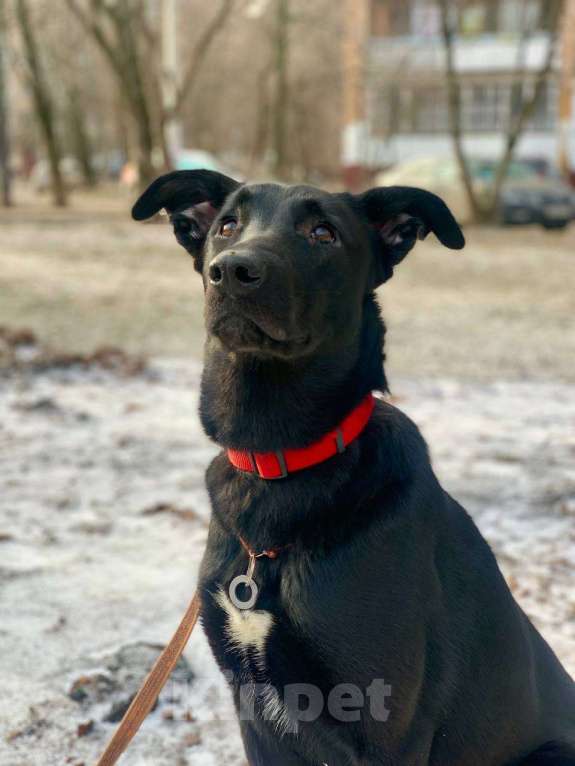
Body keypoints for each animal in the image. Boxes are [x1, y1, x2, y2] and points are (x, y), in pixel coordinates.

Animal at [132, 171, 575, 764]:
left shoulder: (388, 726)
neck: (278, 463)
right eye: (227, 225)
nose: (231, 271)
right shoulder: (255, 716)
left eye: (323, 233)